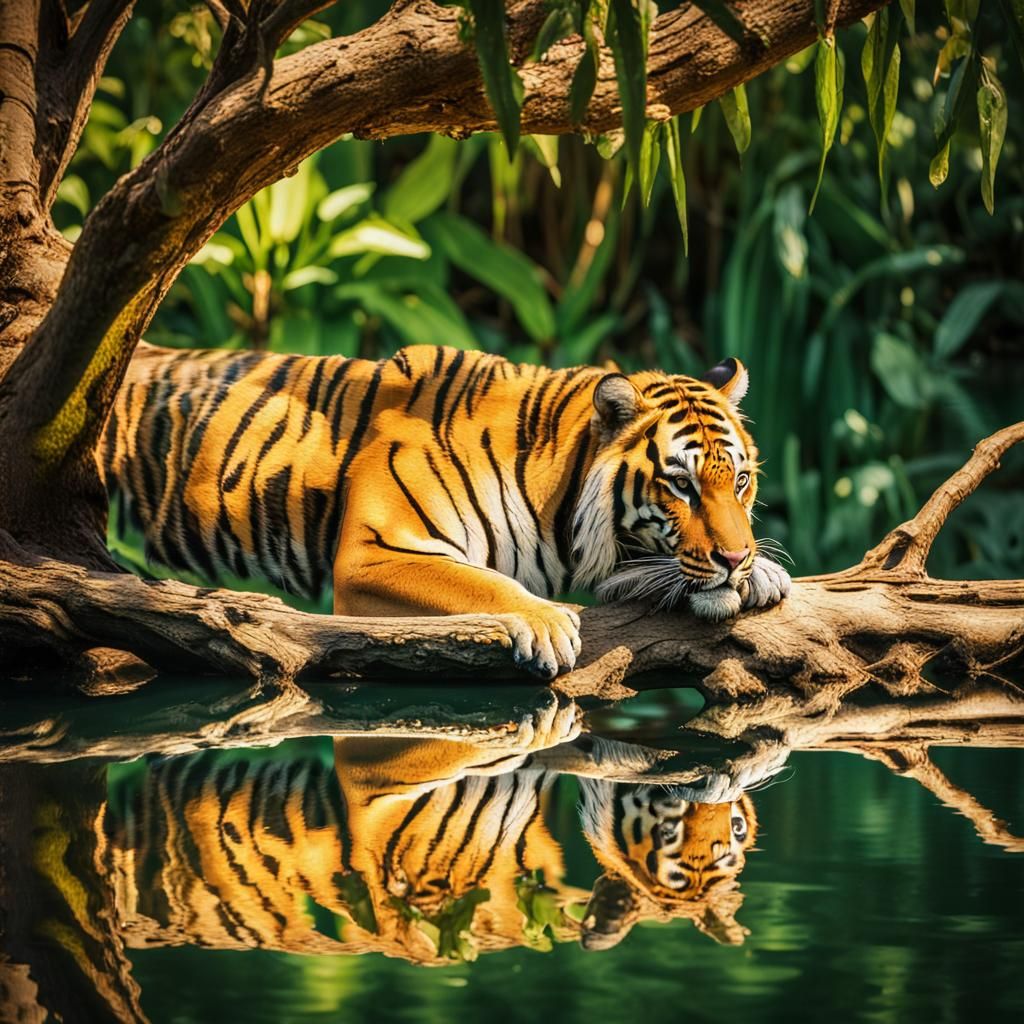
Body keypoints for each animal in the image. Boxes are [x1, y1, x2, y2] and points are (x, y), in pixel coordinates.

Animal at [99, 343, 791, 677]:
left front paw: (766, 574)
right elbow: (480, 580)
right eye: (681, 485)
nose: (735, 558)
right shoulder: (375, 551)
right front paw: (544, 622)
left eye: (741, 481)